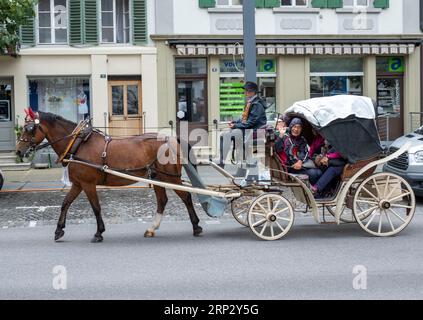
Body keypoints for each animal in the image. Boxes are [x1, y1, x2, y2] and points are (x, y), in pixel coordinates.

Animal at [15, 109, 204, 241]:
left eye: (29, 128)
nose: (18, 151)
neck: (77, 144)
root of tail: (171, 139)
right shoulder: (78, 184)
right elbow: (65, 203)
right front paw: (59, 229)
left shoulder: (88, 184)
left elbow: (96, 207)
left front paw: (99, 233)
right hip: (158, 177)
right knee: (162, 200)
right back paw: (152, 228)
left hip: (170, 177)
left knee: (186, 197)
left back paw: (196, 226)